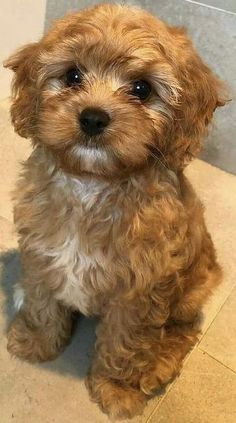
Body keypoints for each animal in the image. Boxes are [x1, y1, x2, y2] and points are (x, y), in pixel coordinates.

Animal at [3, 3, 225, 420]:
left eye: (142, 89)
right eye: (72, 76)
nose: (92, 117)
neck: (93, 184)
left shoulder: (141, 291)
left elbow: (126, 341)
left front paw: (116, 389)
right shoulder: (42, 251)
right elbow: (43, 300)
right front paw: (37, 341)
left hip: (194, 286)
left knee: (184, 328)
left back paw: (158, 365)